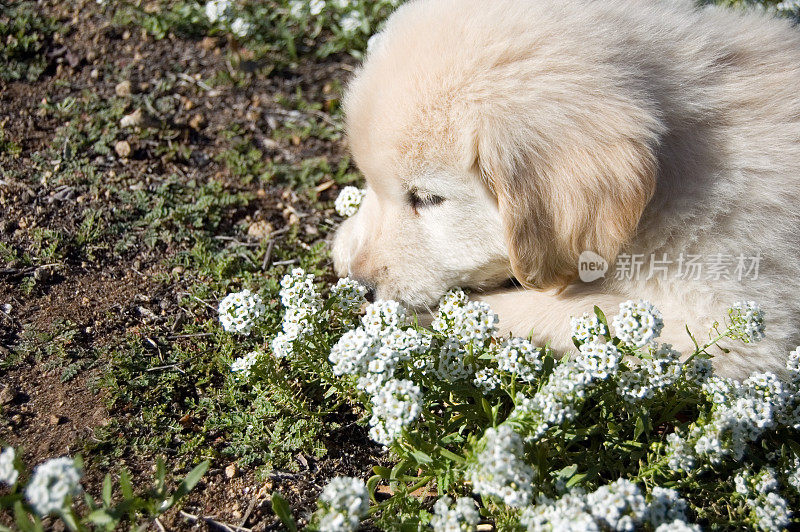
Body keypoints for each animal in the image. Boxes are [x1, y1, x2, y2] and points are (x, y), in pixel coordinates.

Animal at [330, 0, 800, 378]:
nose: (360, 286)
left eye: (428, 198)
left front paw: (426, 320)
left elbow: (554, 310)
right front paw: (348, 238)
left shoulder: (738, 321)